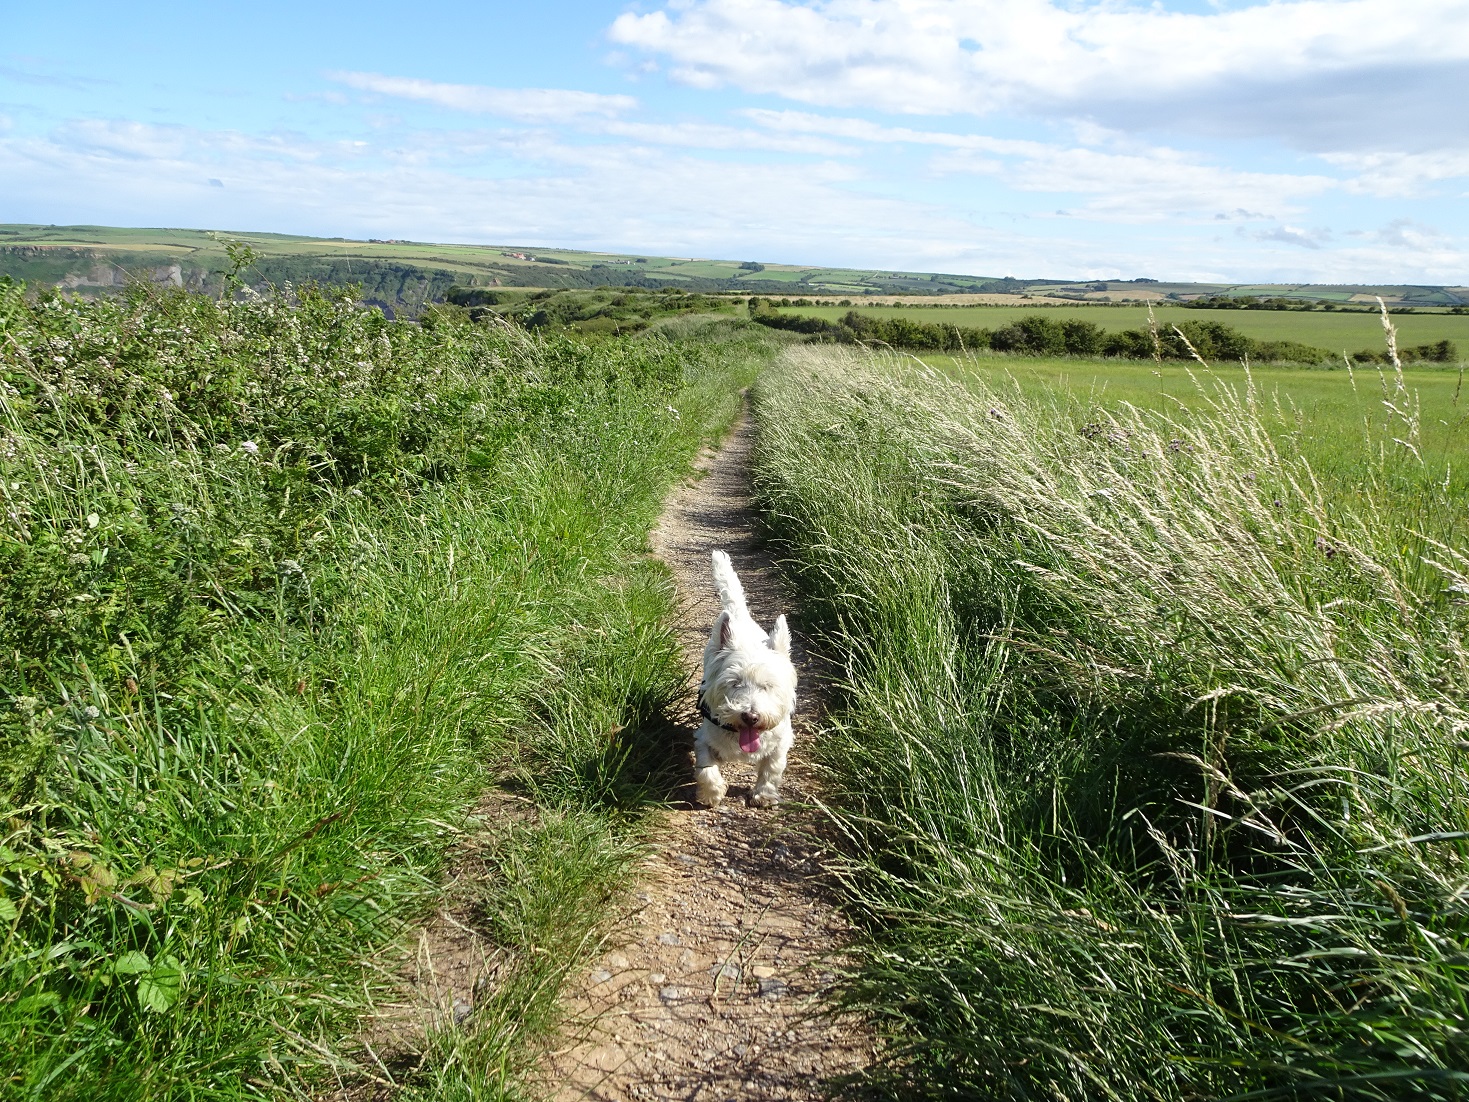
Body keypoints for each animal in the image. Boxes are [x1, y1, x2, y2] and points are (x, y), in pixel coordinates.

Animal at [693, 552, 799, 811]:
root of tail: (740, 618)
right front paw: (712, 793)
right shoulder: (704, 738)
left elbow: (772, 768)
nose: (751, 716)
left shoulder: (781, 741)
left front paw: (765, 795)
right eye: (734, 683)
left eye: (768, 686)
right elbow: (705, 768)